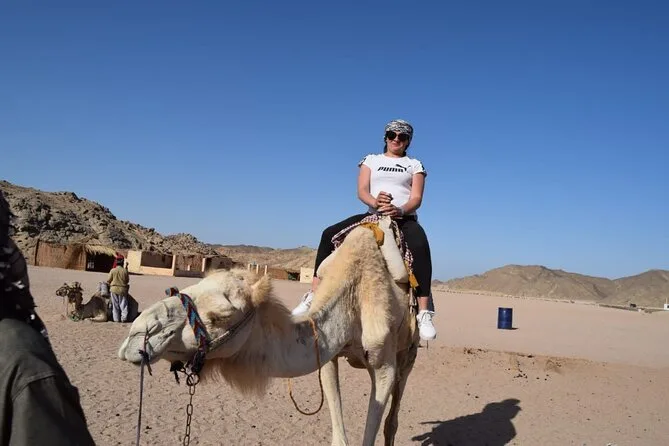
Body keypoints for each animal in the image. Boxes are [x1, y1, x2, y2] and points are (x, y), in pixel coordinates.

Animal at [118, 220, 420, 445]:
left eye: (222, 315)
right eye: (186, 289)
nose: (139, 334)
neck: (352, 298)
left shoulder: (384, 364)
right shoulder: (328, 356)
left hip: (408, 355)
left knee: (393, 418)